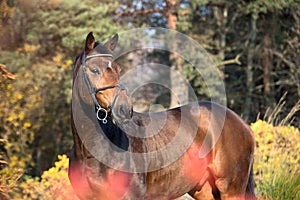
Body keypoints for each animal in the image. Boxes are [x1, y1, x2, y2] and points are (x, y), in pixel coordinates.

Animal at [69, 32, 256, 199]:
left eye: (118, 69)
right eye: (94, 70)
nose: (124, 108)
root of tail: (243, 124)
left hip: (231, 190)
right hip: (205, 190)